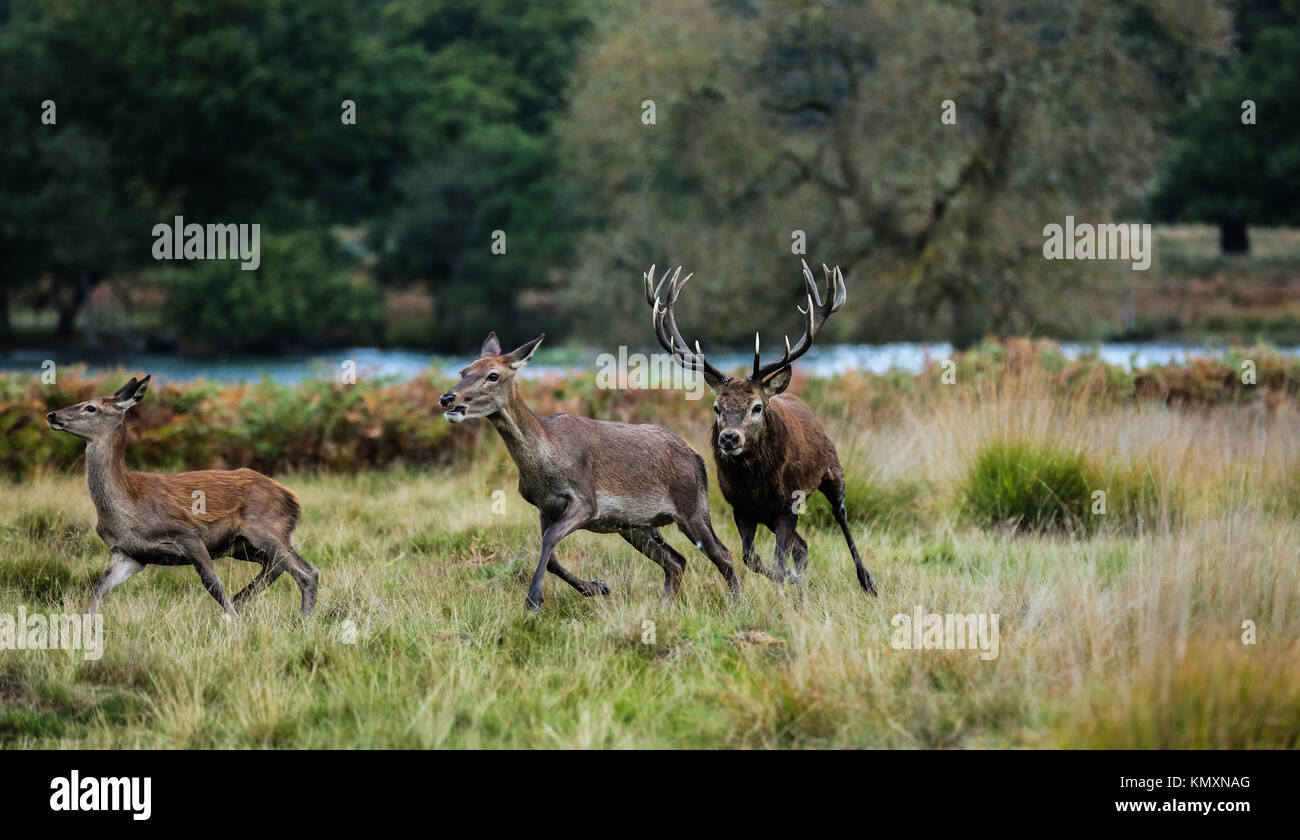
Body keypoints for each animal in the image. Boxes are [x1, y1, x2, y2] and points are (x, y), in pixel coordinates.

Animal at [47, 379, 315, 616]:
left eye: (90, 407)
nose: (52, 415)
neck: (130, 507)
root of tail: (292, 500)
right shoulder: (129, 554)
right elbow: (99, 587)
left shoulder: (188, 534)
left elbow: (213, 584)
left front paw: (234, 622)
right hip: (243, 545)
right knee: (277, 567)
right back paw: (243, 600)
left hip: (266, 529)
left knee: (307, 573)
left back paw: (301, 620)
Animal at [439, 332, 738, 616]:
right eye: (463, 371)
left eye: (493, 375)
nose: (447, 398)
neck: (545, 461)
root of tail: (697, 458)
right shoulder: (544, 507)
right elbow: (552, 556)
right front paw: (596, 587)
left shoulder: (586, 499)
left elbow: (550, 539)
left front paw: (533, 601)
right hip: (636, 527)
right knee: (677, 561)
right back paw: (663, 607)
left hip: (692, 507)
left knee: (723, 554)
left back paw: (738, 603)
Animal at [644, 262, 878, 598]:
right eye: (716, 407)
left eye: (756, 407)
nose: (729, 438)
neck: (758, 484)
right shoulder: (741, 507)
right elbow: (750, 557)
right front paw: (789, 580)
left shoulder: (789, 503)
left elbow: (778, 561)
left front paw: (786, 580)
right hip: (768, 514)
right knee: (803, 547)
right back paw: (801, 584)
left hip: (832, 470)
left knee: (841, 516)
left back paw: (867, 580)